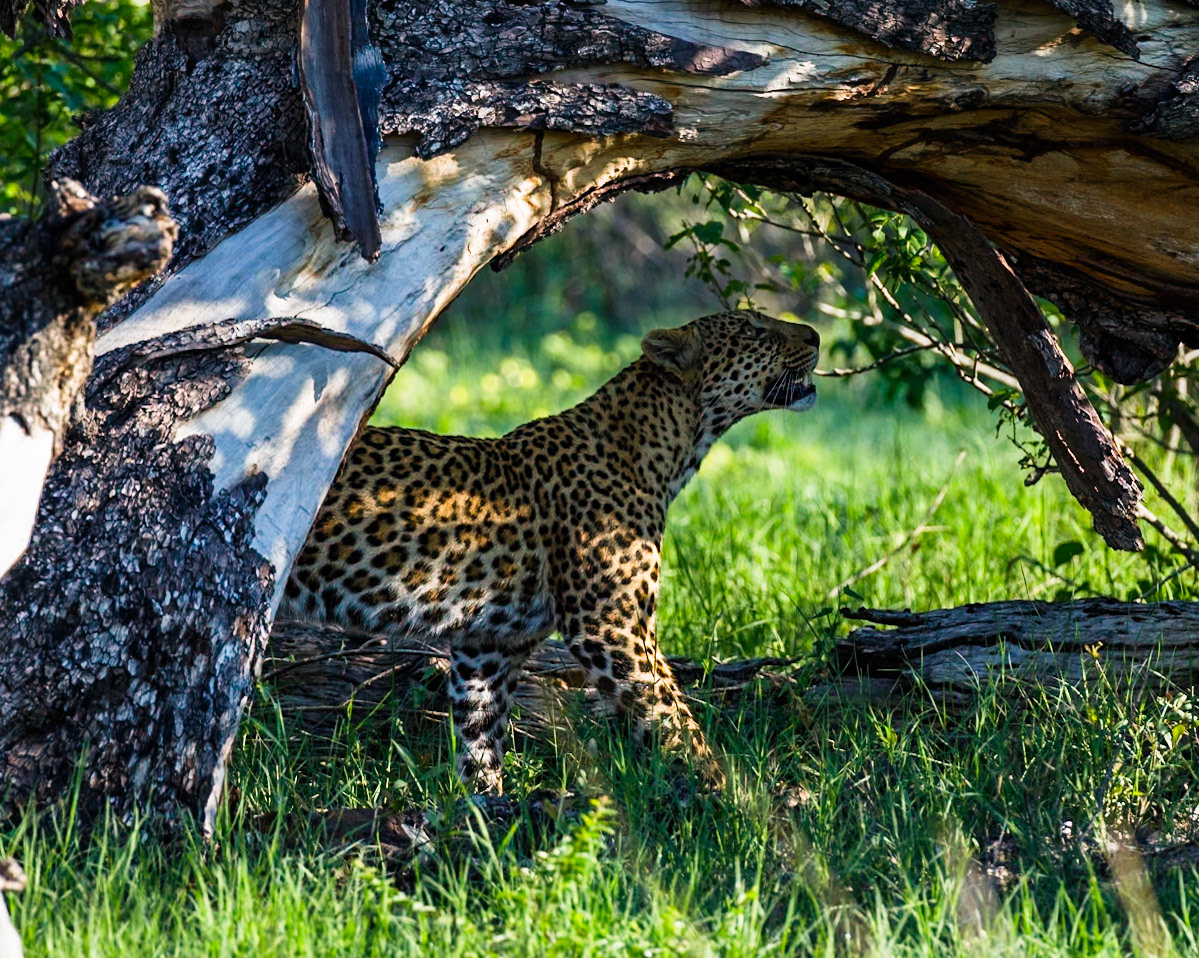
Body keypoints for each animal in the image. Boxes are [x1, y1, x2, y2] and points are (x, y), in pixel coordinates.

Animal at [281, 309, 820, 794]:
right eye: (751, 329)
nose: (815, 335)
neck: (667, 453)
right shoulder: (613, 629)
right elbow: (674, 721)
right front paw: (733, 806)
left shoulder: (489, 649)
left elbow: (481, 740)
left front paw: (484, 816)